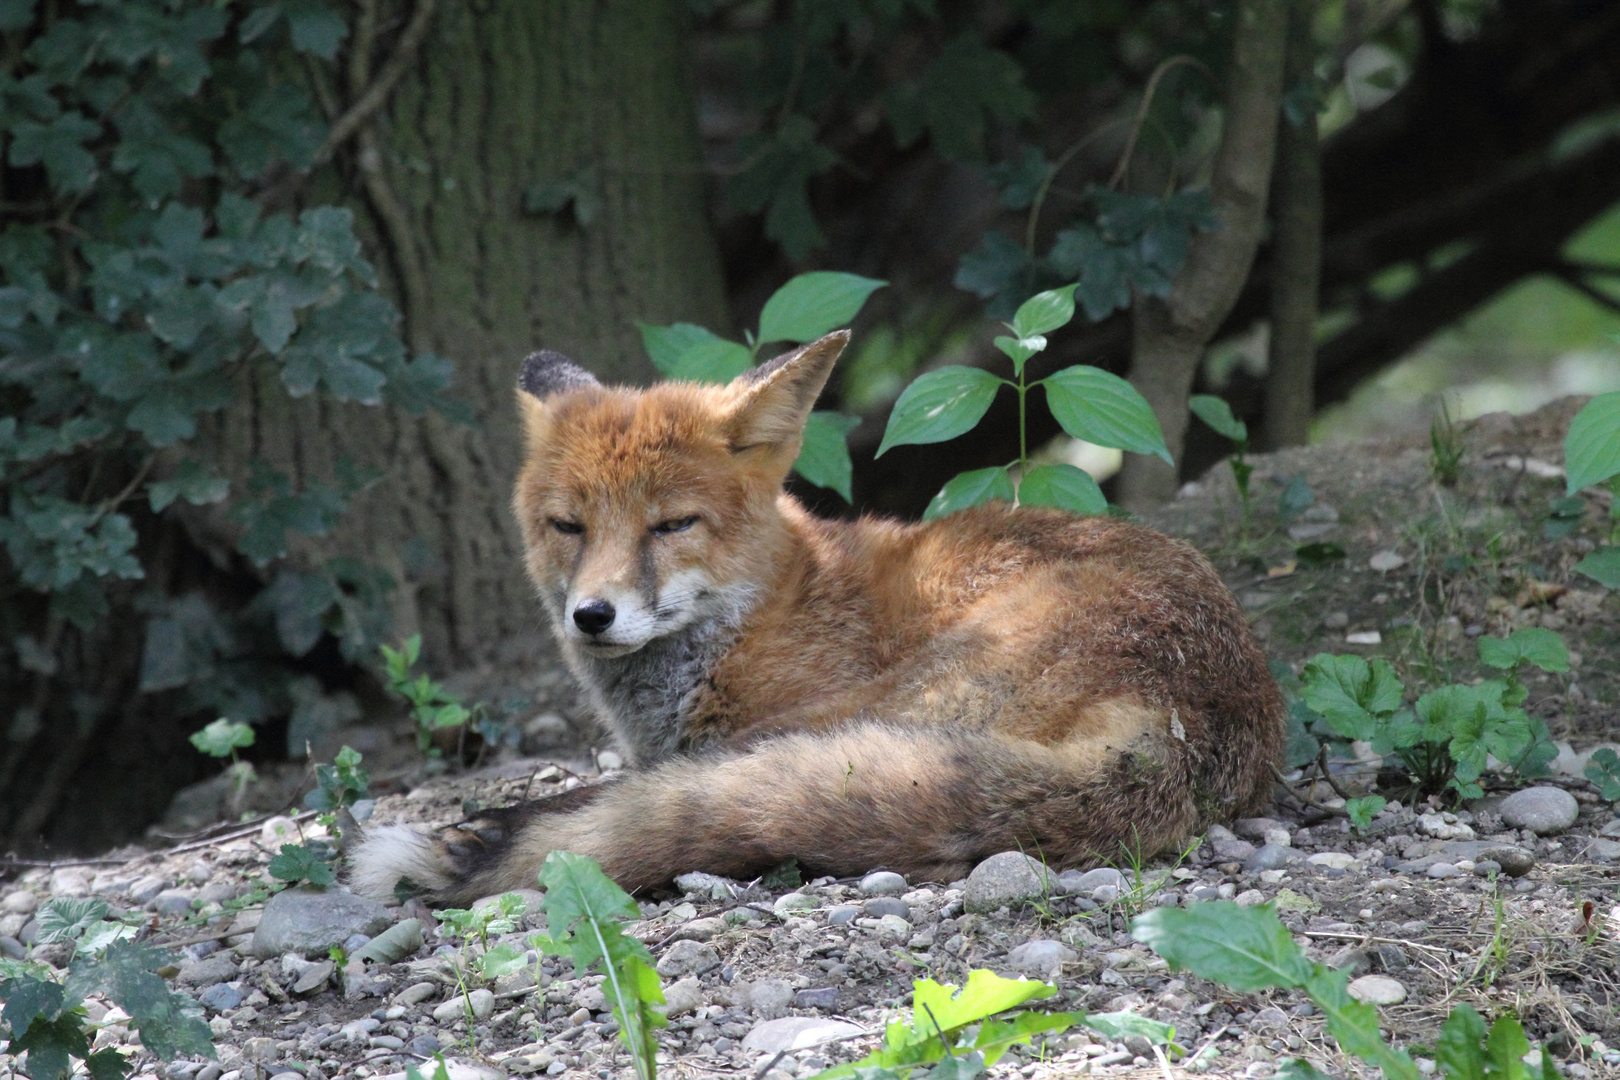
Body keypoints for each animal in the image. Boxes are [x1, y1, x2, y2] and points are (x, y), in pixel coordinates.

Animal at [348, 331, 1283, 906]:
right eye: (567, 526)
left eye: (671, 525)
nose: (593, 616)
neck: (762, 613)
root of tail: (1200, 723)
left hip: (879, 706)